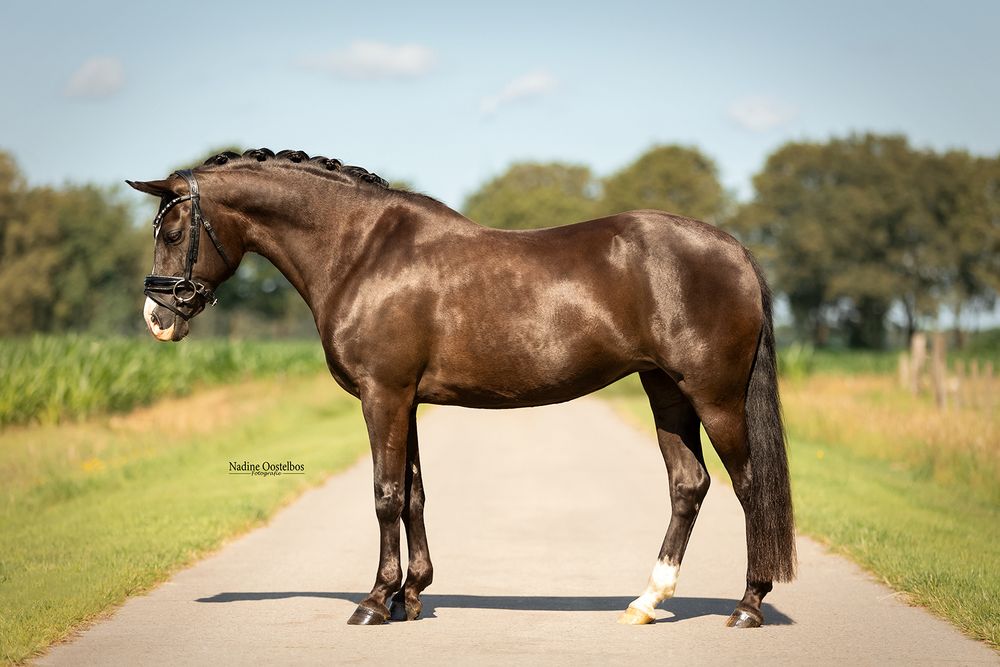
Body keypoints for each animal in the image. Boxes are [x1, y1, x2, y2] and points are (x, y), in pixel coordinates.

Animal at [128, 148, 795, 628]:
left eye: (174, 231)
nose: (158, 319)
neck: (359, 250)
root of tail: (733, 249)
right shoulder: (406, 401)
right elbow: (414, 494)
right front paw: (412, 595)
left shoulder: (384, 396)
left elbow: (385, 495)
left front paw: (374, 602)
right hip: (666, 391)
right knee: (689, 484)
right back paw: (647, 602)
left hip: (714, 397)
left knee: (748, 487)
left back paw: (747, 606)